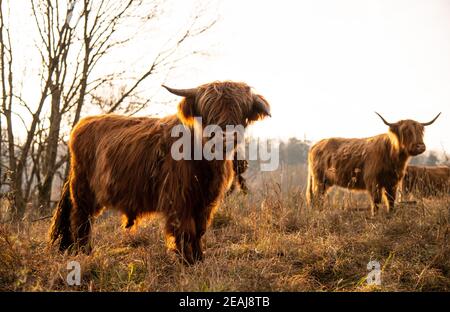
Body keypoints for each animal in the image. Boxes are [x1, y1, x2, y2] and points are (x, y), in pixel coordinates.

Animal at [48, 80, 270, 264]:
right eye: (208, 112)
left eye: (240, 111)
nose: (225, 137)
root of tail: (82, 124)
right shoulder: (178, 199)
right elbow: (185, 230)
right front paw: (186, 261)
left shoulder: (205, 201)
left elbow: (199, 230)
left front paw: (199, 259)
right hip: (83, 189)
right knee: (81, 219)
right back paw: (84, 252)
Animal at [308, 112, 442, 217]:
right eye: (406, 131)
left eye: (420, 131)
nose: (420, 146)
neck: (393, 157)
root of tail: (316, 145)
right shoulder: (373, 181)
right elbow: (376, 200)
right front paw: (375, 216)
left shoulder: (393, 182)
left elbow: (391, 200)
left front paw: (390, 215)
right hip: (319, 180)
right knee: (317, 197)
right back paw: (318, 214)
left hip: (324, 182)